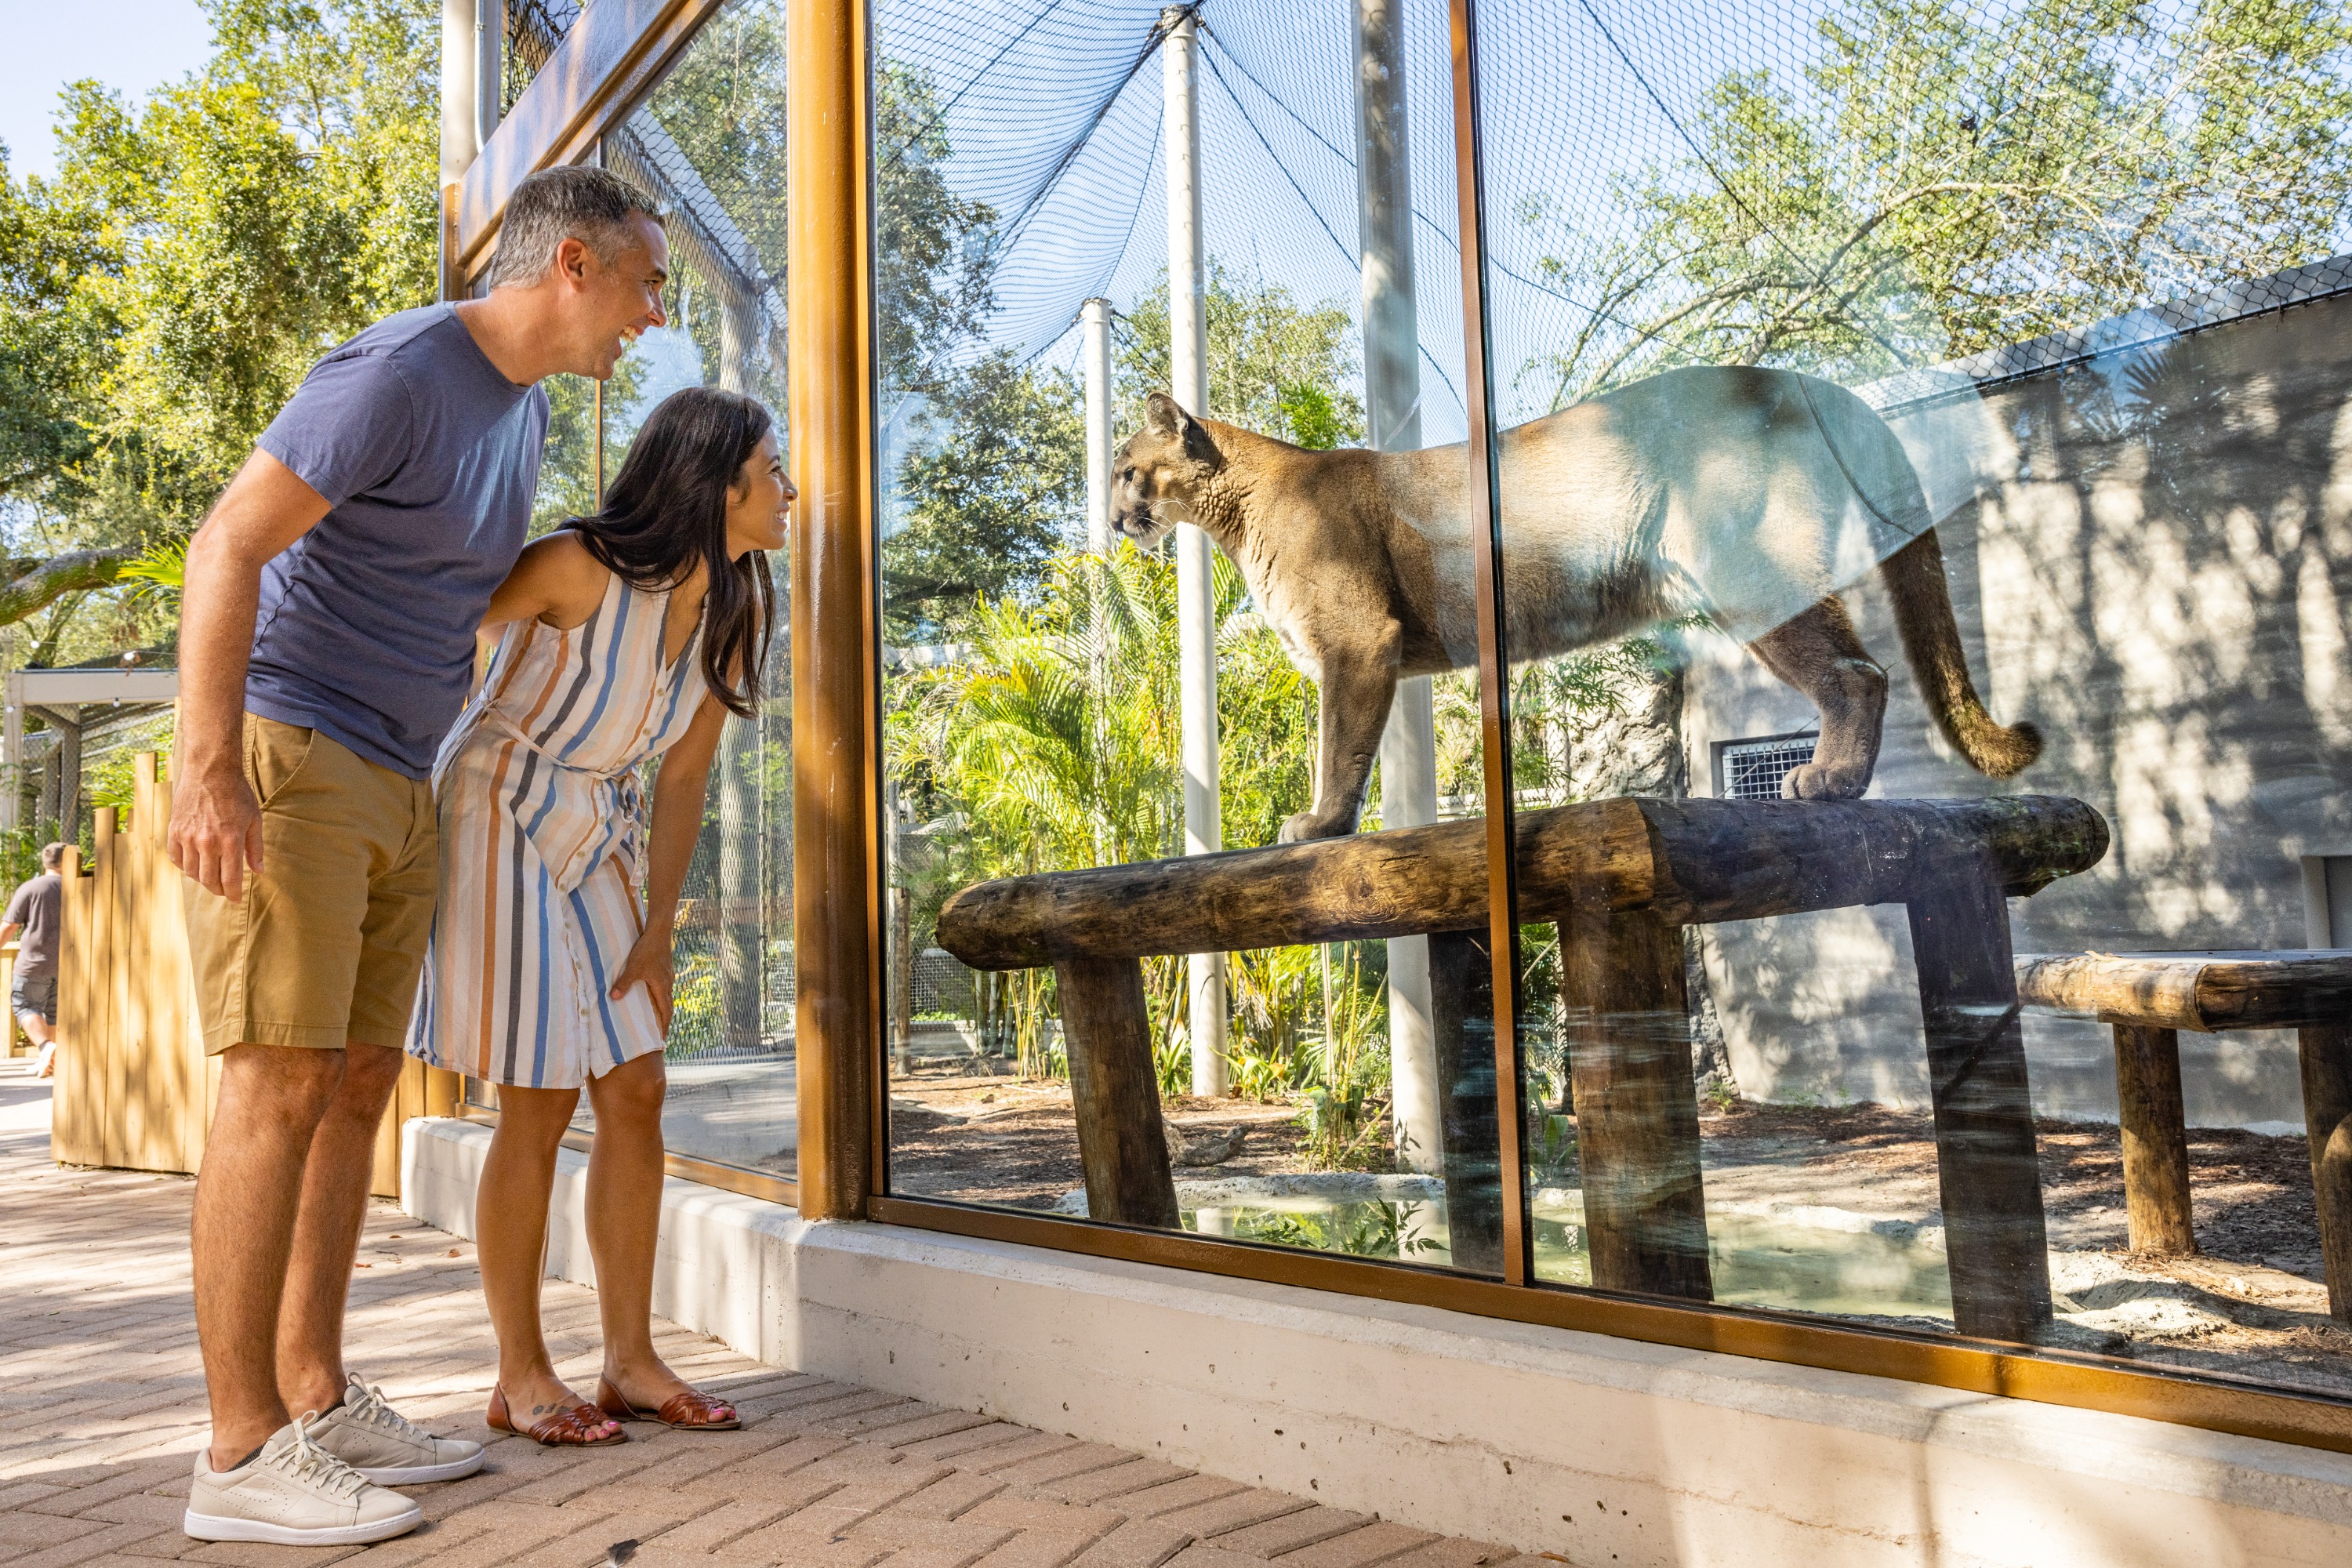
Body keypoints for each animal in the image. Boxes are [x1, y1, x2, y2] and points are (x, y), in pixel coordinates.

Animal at [1110, 364, 2032, 846]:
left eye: (1125, 468)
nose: (1112, 515)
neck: (1238, 502)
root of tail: (1793, 375)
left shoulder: (1358, 641)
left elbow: (1338, 745)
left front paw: (1321, 823)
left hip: (1751, 574)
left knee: (1858, 670)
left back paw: (1829, 780)